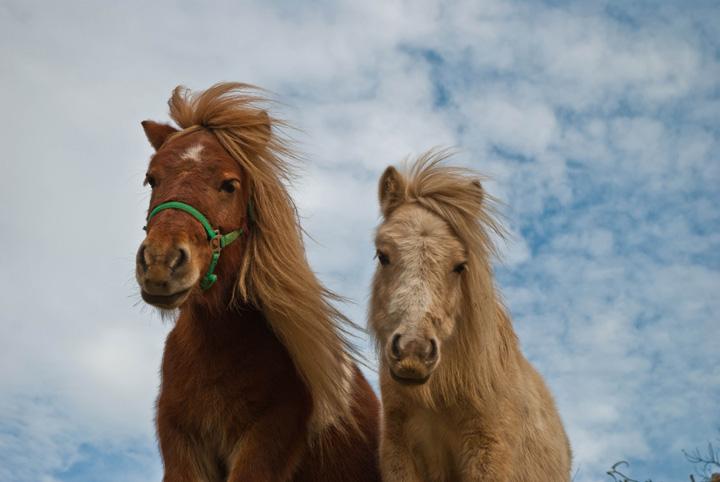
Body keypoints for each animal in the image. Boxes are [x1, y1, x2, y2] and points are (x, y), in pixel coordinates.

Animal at [137, 84, 380, 482]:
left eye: (229, 185)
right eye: (151, 179)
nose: (161, 262)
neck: (216, 346)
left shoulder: (264, 444)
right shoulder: (182, 450)